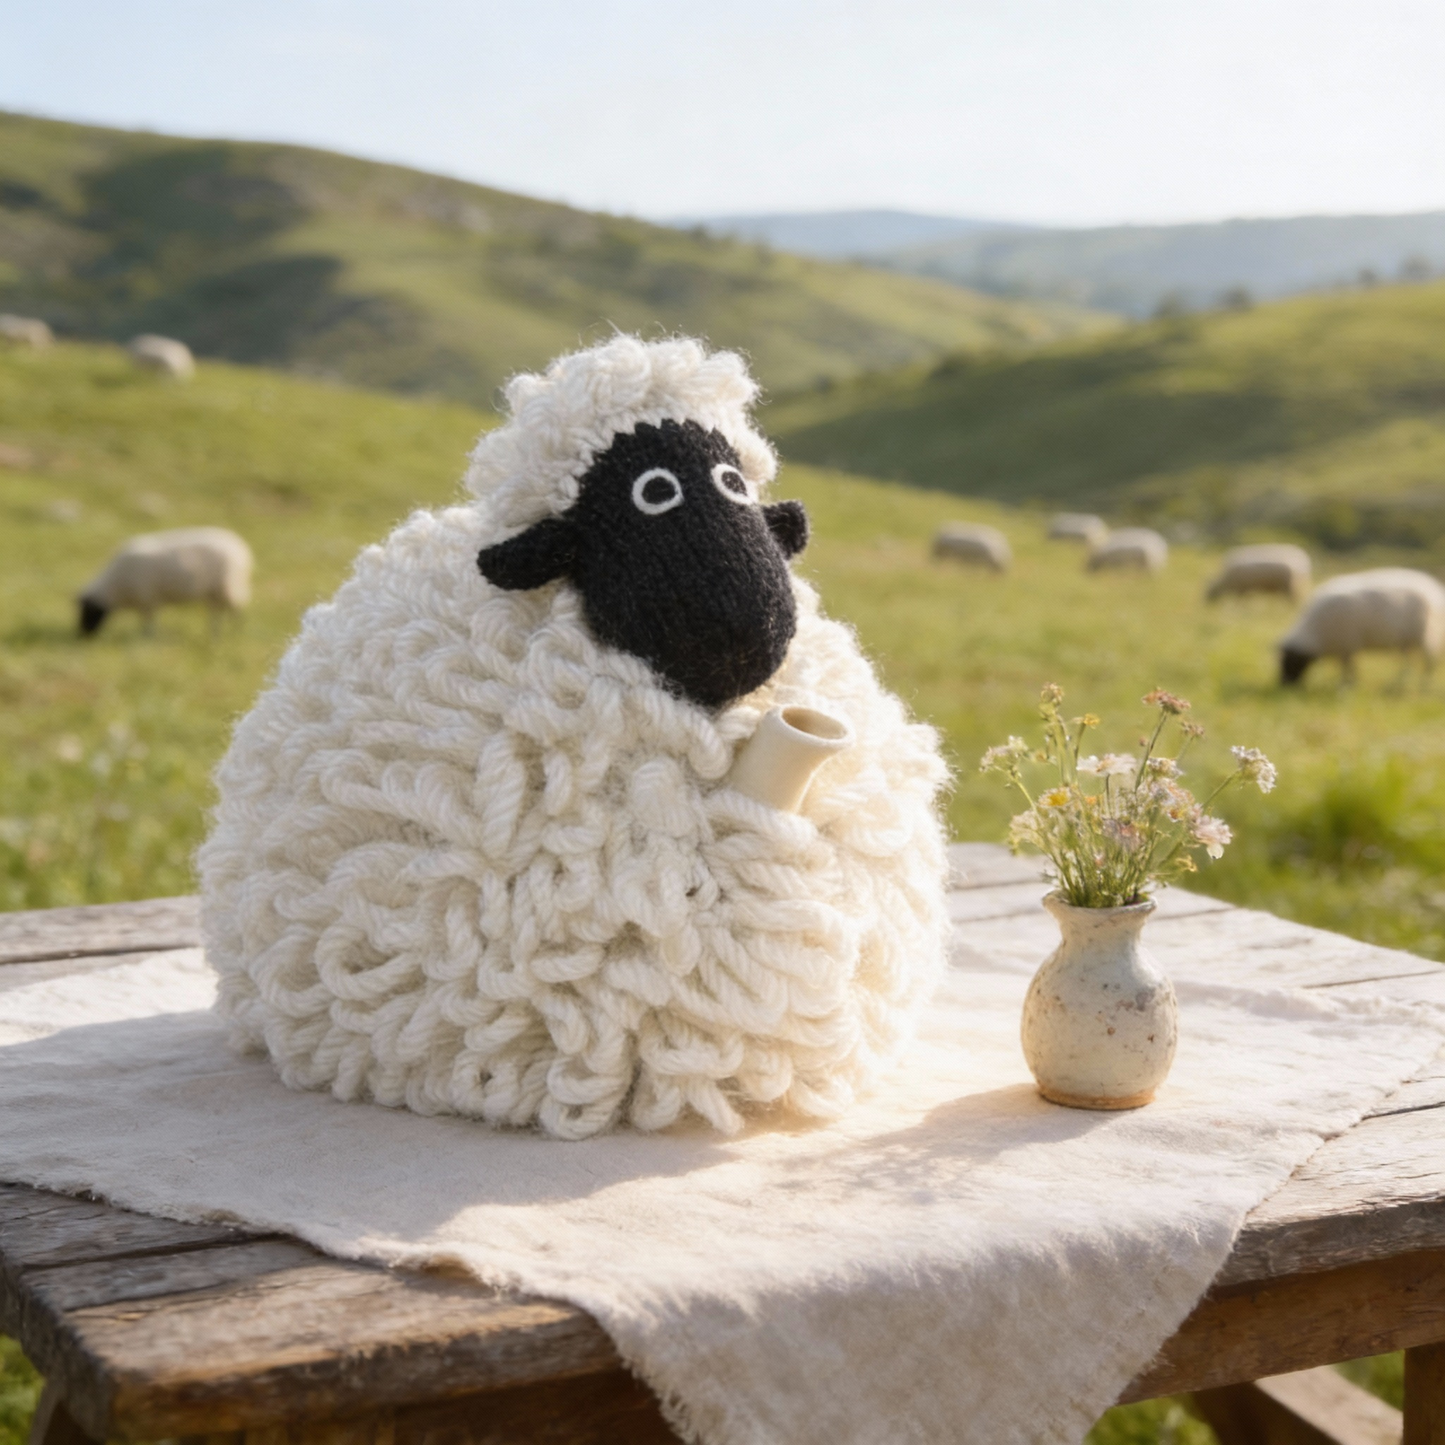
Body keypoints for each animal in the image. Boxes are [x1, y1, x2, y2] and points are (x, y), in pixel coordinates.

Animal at [78, 527, 252, 636]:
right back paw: (215, 633)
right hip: (214, 593)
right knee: (217, 613)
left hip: (229, 587)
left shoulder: (147, 599)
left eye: (88, 611)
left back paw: (234, 633)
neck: (114, 586)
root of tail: (242, 549)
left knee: (238, 610)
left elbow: (148, 623)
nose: (83, 635)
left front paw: (146, 638)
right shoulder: (148, 600)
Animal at [1279, 567, 1445, 687]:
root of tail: (1435, 590)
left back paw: (1424, 685)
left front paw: (1347, 684)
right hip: (1406, 641)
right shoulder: (1346, 647)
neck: (1314, 631)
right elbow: (1349, 667)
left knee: (1430, 662)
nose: (1285, 685)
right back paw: (1400, 682)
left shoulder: (1347, 644)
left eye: (1291, 660)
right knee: (1408, 663)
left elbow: (1348, 667)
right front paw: (1350, 682)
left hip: (1427, 636)